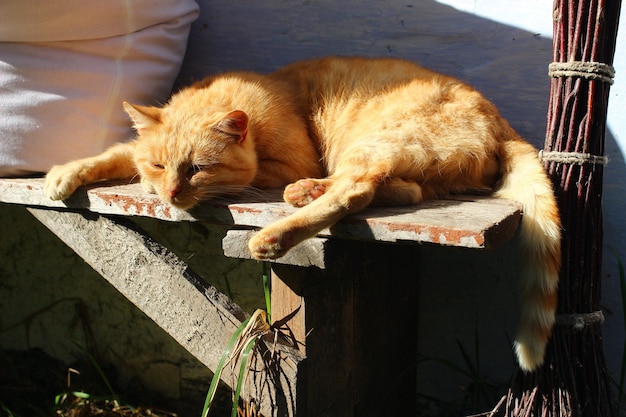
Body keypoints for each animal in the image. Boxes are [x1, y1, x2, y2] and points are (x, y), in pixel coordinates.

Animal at [45, 55, 560, 370]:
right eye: (159, 164)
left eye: (197, 169)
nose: (170, 192)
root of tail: (501, 121)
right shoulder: (137, 157)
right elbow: (116, 153)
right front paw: (65, 174)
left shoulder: (289, 160)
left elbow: (249, 175)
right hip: (399, 159)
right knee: (400, 190)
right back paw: (305, 194)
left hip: (378, 138)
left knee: (356, 190)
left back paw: (275, 233)